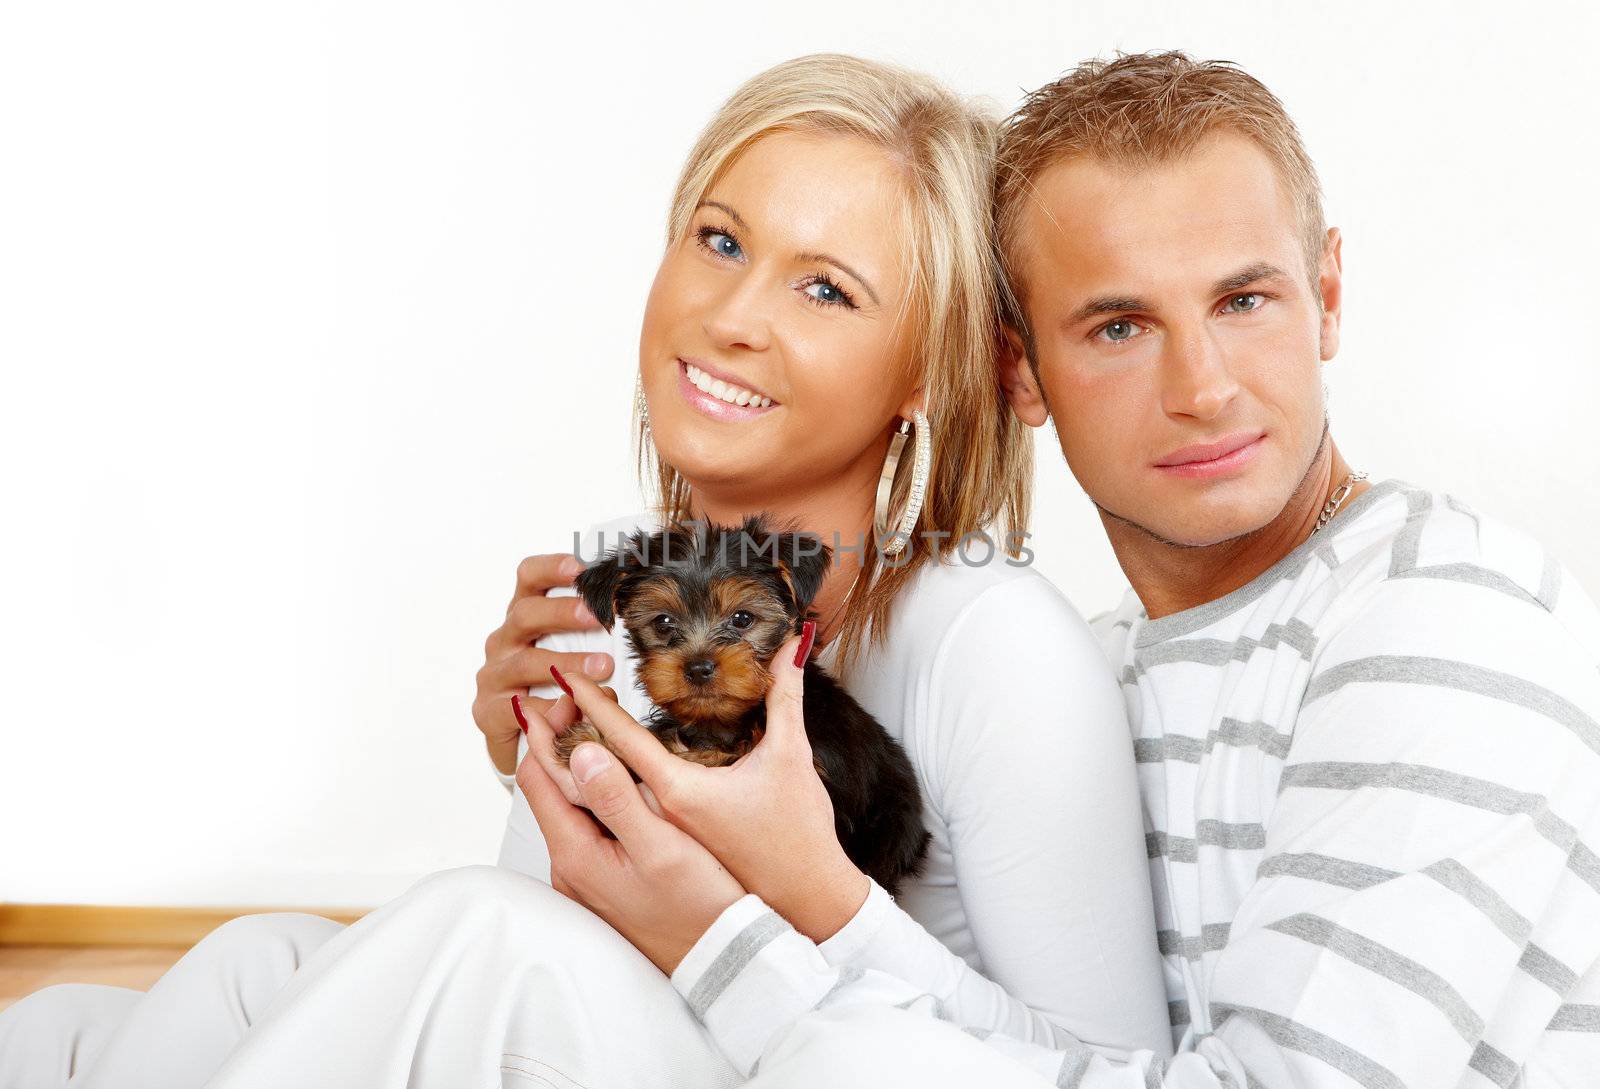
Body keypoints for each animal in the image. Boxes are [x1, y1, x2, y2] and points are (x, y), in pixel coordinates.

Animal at [550, 514, 934, 895]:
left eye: (743, 618)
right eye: (663, 622)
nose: (698, 667)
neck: (729, 720)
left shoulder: (824, 780)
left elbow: (716, 755)